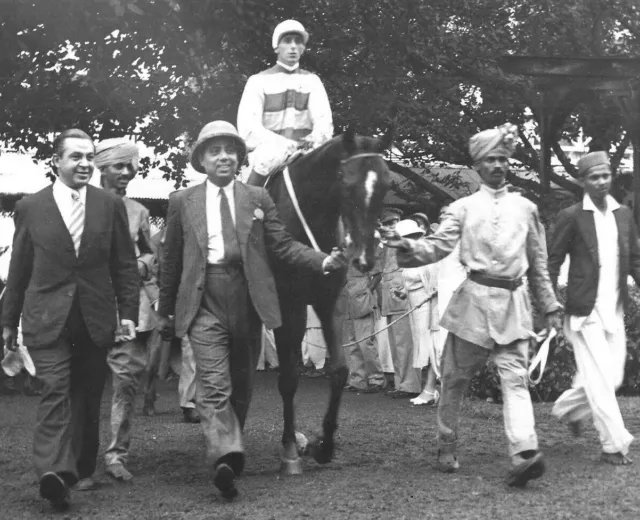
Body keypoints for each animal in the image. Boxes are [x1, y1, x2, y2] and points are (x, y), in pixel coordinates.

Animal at [249, 128, 390, 474]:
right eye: (347, 183)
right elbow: (288, 377)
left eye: (385, 184)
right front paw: (289, 449)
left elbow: (339, 370)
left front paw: (323, 446)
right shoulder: (288, 304)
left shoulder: (330, 302)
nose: (365, 257)